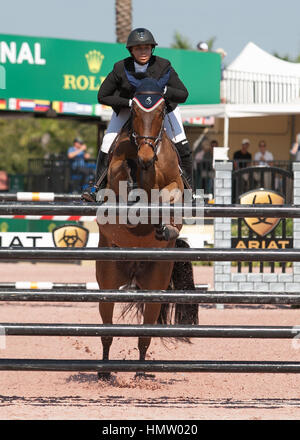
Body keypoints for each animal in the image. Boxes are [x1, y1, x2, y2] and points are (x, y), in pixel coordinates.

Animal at [95, 75, 197, 382]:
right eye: (135, 112)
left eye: (162, 112)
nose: (145, 156)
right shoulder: (117, 173)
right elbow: (123, 172)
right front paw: (133, 189)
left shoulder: (174, 184)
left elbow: (168, 196)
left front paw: (165, 226)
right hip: (107, 281)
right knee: (106, 332)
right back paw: (105, 372)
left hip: (155, 285)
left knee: (145, 335)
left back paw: (141, 374)